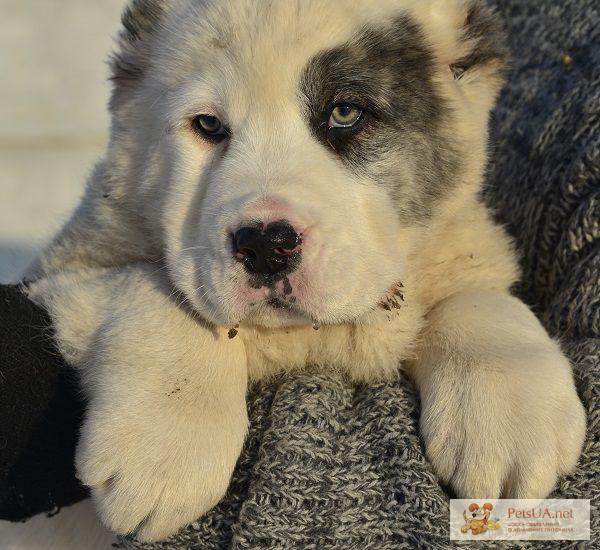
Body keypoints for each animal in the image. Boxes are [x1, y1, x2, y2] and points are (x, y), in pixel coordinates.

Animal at [25, 0, 584, 544]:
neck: (304, 338)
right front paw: (163, 450)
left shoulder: (464, 246)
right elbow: (152, 290)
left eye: (345, 113)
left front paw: (509, 423)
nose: (265, 246)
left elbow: (476, 296)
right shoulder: (65, 272)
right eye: (208, 127)